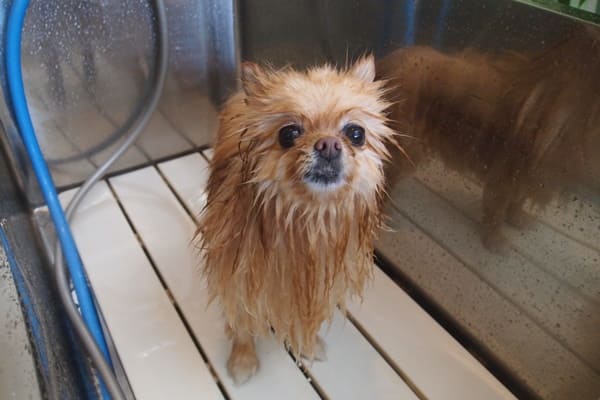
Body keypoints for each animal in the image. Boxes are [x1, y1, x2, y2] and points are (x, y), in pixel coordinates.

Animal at [195, 54, 396, 382]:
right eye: (288, 133)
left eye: (356, 134)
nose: (329, 144)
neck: (308, 221)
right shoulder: (236, 278)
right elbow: (242, 322)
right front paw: (243, 358)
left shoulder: (319, 288)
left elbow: (306, 320)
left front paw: (307, 345)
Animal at [378, 26, 600, 250]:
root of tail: (386, 63)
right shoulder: (504, 175)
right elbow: (496, 211)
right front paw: (495, 240)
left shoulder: (523, 176)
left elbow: (517, 201)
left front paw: (516, 218)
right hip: (405, 151)